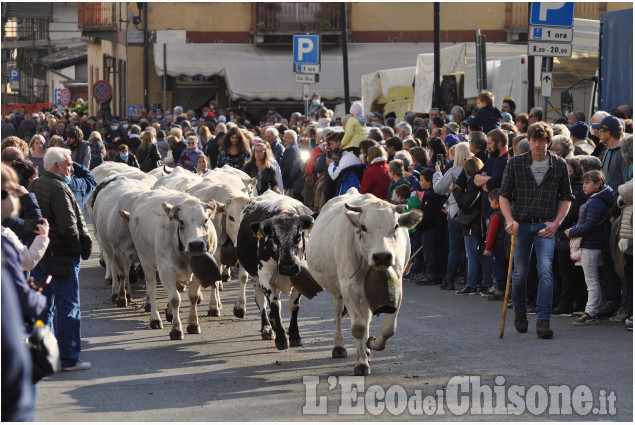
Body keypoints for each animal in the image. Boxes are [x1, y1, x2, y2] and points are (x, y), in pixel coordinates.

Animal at [122, 187, 224, 340]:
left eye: (205, 220)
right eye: (181, 222)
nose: (196, 244)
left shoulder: (200, 270)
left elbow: (193, 296)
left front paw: (193, 324)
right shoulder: (165, 269)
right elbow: (175, 298)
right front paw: (176, 329)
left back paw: (169, 313)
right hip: (146, 263)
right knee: (151, 289)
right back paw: (155, 319)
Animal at [306, 189, 422, 374]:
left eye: (396, 226)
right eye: (363, 227)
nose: (382, 256)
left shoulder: (396, 288)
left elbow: (388, 328)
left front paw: (372, 344)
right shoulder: (347, 289)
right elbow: (358, 327)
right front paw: (361, 364)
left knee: (366, 316)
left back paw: (366, 350)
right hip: (336, 290)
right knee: (338, 314)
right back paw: (339, 347)